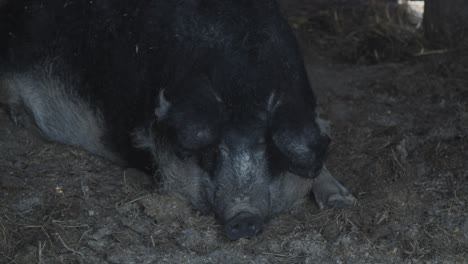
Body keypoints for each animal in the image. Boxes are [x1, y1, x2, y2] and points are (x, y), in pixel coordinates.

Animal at [0, 0, 352, 239]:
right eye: (212, 152)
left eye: (270, 152)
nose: (244, 216)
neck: (243, 85)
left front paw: (341, 201)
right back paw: (19, 119)